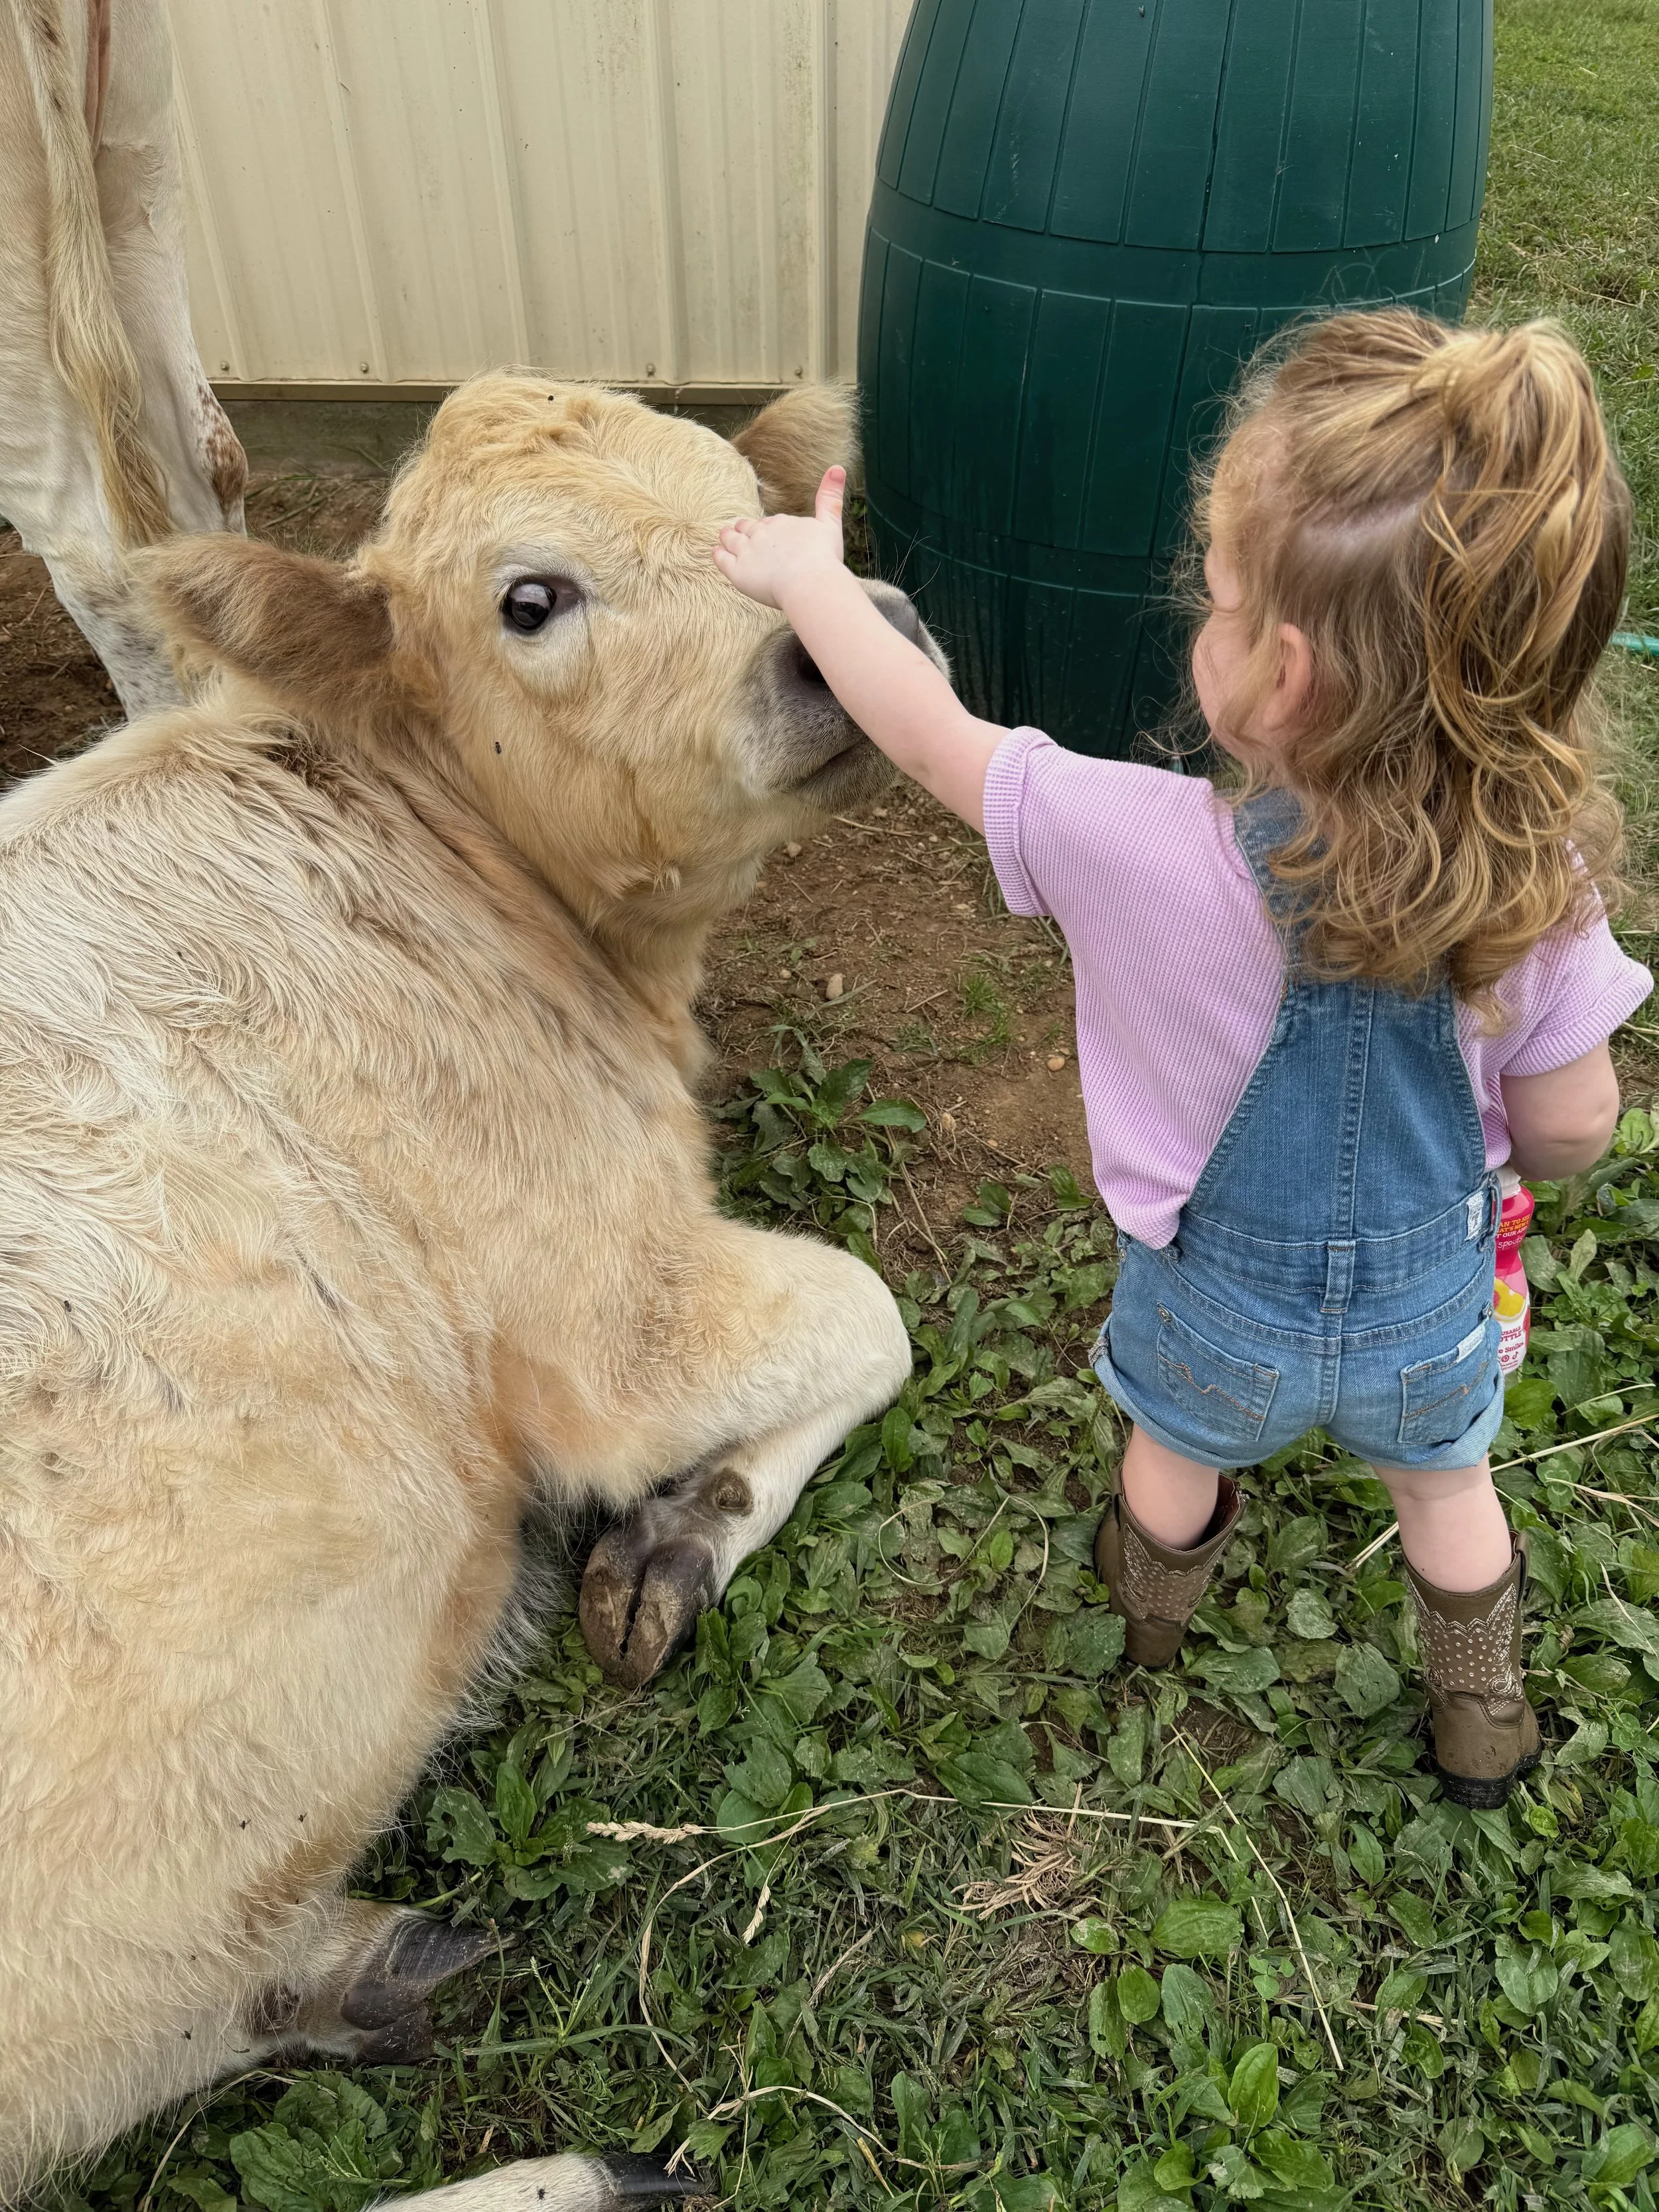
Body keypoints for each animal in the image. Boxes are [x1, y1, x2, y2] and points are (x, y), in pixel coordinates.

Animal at [0, 370, 926, 2206]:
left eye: (752, 506)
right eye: (532, 596)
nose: (848, 634)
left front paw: (682, 1532)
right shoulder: (605, 1315)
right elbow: (873, 1310)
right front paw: (683, 1524)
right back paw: (586, 2170)